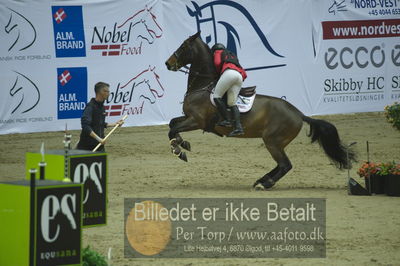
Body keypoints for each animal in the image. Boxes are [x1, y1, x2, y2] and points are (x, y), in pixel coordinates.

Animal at [164, 31, 358, 189]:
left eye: (183, 47)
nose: (167, 63)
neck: (202, 86)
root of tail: (299, 114)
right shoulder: (188, 117)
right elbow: (172, 124)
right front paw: (183, 143)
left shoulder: (196, 121)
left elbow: (172, 130)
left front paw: (178, 151)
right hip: (276, 143)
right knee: (281, 165)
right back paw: (261, 180)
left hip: (272, 141)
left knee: (286, 165)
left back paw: (265, 183)